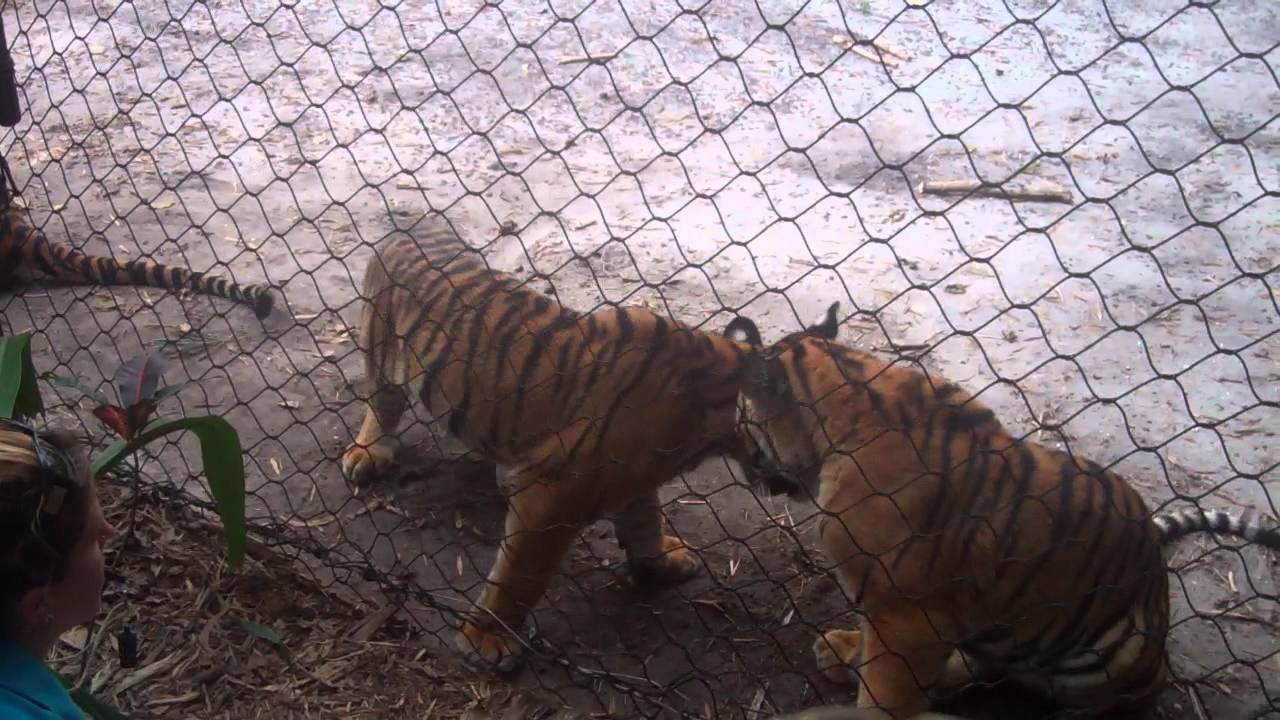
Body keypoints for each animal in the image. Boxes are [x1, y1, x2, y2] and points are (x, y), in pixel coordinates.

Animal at [339, 214, 763, 672]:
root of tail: (412, 221)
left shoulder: (631, 472)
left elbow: (645, 519)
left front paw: (662, 561)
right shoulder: (555, 489)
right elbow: (523, 572)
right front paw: (485, 639)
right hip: (381, 346)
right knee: (383, 403)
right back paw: (367, 454)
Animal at [722, 302, 1280, 720]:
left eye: (746, 415)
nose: (745, 460)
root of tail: (1155, 574)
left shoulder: (909, 616)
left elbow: (887, 695)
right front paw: (851, 652)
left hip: (1111, 656)